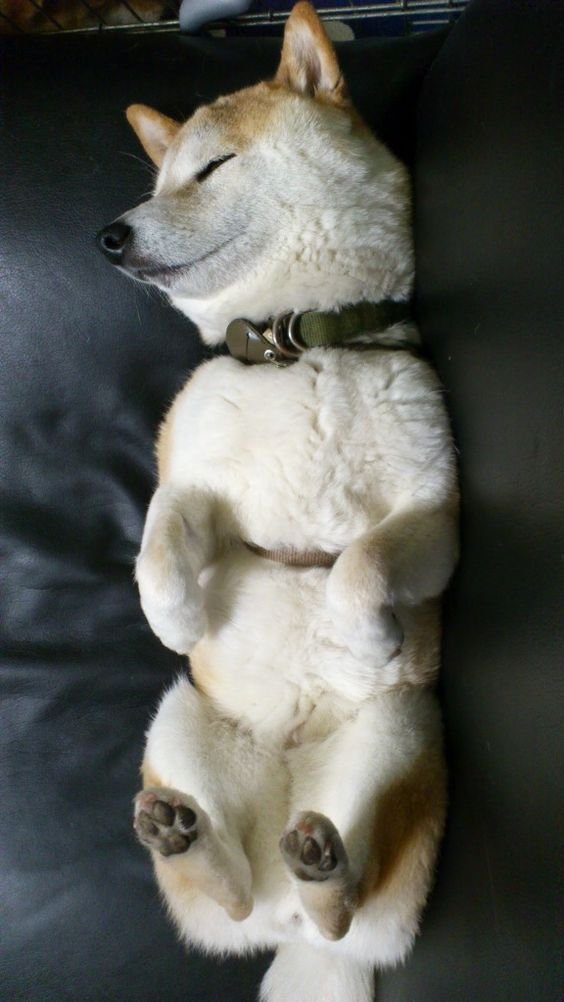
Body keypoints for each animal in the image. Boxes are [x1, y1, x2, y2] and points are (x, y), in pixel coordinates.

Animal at [97, 3, 458, 997]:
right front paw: (175, 614)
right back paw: (182, 840)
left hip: (401, 731)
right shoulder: (194, 483)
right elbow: (158, 537)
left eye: (212, 167)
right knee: (221, 894)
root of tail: (286, 926)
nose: (112, 235)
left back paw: (325, 866)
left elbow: (361, 564)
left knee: (345, 901)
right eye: (161, 177)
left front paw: (359, 635)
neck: (296, 343)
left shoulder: (434, 507)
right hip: (177, 722)